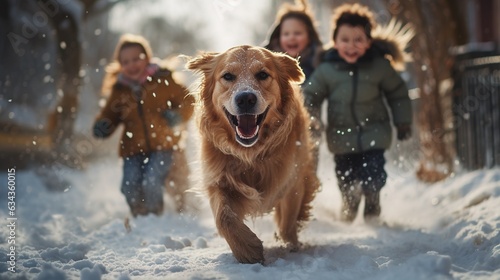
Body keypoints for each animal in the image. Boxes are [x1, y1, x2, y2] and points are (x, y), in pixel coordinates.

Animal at [188, 44, 320, 264]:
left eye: (263, 74)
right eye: (228, 76)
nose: (246, 98)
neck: (251, 153)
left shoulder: (293, 180)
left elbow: (287, 222)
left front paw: (290, 246)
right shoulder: (219, 179)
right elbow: (224, 217)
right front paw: (248, 249)